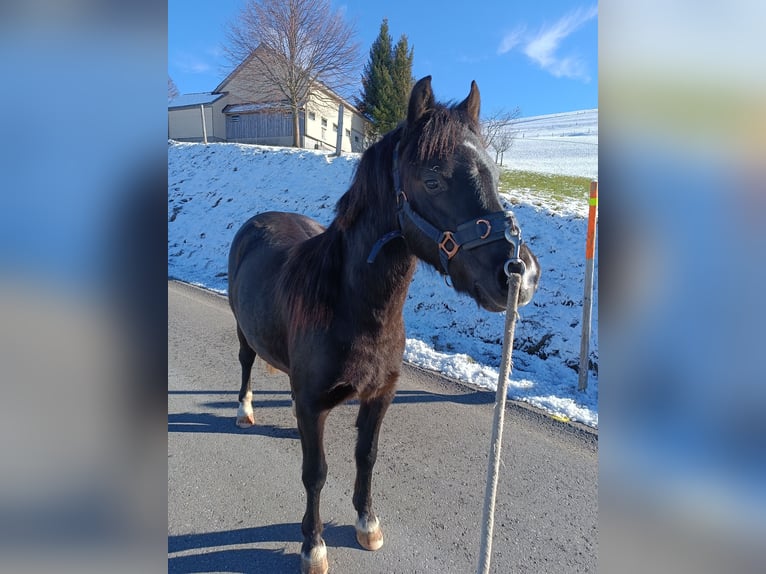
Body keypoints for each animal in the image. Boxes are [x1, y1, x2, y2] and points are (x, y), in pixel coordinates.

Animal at [228, 77, 540, 574]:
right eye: (432, 179)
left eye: (493, 173)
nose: (520, 274)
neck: (352, 307)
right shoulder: (313, 404)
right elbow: (315, 473)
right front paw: (313, 545)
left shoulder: (379, 397)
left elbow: (366, 456)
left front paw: (366, 523)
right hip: (244, 332)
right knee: (244, 365)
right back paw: (244, 411)